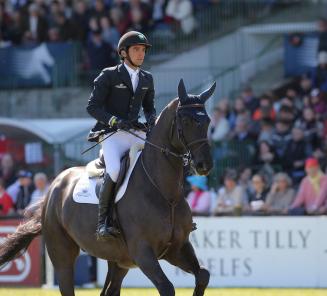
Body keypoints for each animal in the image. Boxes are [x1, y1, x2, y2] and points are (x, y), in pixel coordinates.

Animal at [0, 79, 218, 296]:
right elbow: (167, 287)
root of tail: (54, 185)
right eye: (186, 121)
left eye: (207, 121)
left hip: (119, 260)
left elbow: (203, 275)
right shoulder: (143, 252)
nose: (204, 165)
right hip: (62, 254)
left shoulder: (178, 248)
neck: (165, 193)